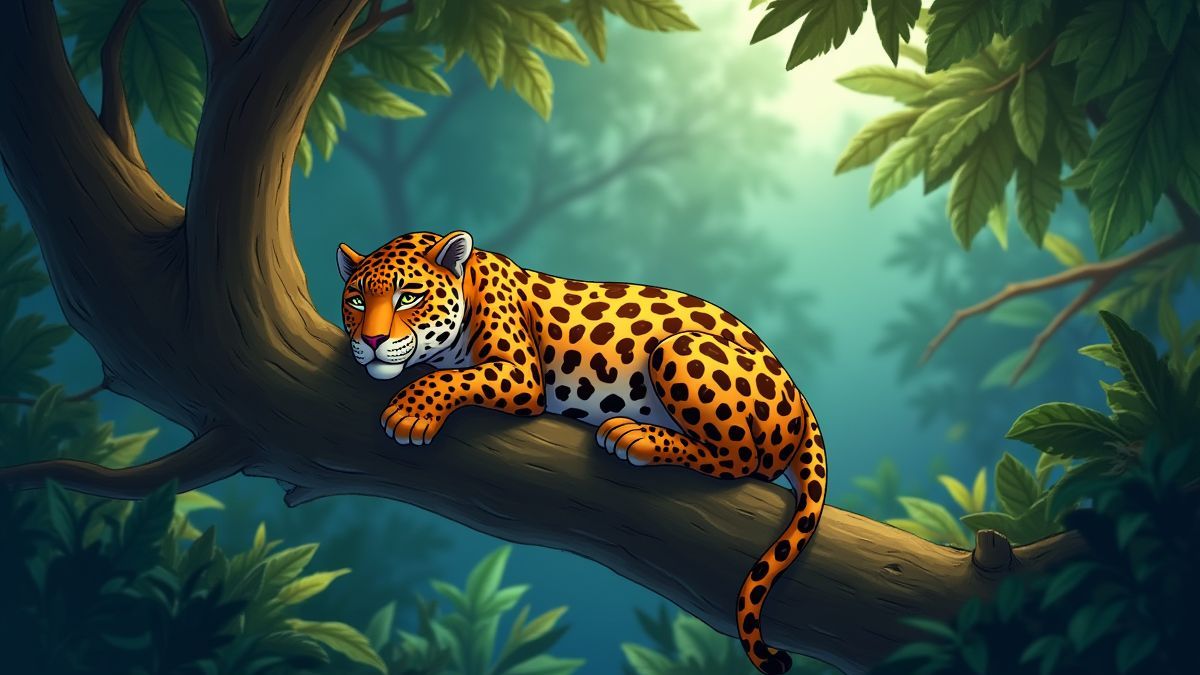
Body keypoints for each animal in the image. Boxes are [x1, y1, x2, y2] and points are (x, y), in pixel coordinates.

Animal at [337, 230, 827, 674]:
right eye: (357, 302)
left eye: (408, 297)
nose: (373, 341)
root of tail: (801, 398)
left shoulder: (521, 373)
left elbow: (455, 378)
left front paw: (410, 413)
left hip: (679, 347)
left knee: (743, 459)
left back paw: (635, 435)